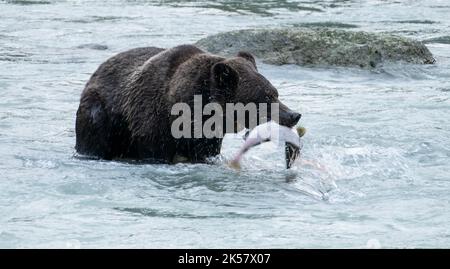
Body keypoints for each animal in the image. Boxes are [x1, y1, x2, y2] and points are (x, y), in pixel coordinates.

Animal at [75, 44, 300, 161]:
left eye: (275, 92)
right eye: (266, 96)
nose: (294, 115)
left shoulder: (207, 139)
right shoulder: (151, 127)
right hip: (101, 117)